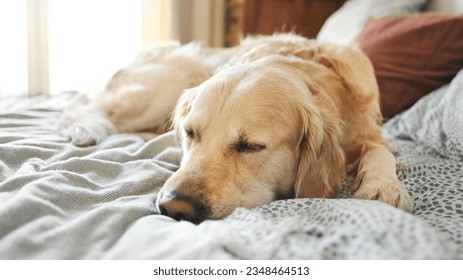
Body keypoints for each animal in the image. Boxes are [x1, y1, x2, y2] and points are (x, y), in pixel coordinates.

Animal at [60, 34, 414, 224]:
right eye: (191, 133)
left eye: (250, 146)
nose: (174, 207)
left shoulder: (368, 129)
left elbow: (381, 150)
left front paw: (384, 185)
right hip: (162, 87)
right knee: (89, 106)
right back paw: (87, 130)